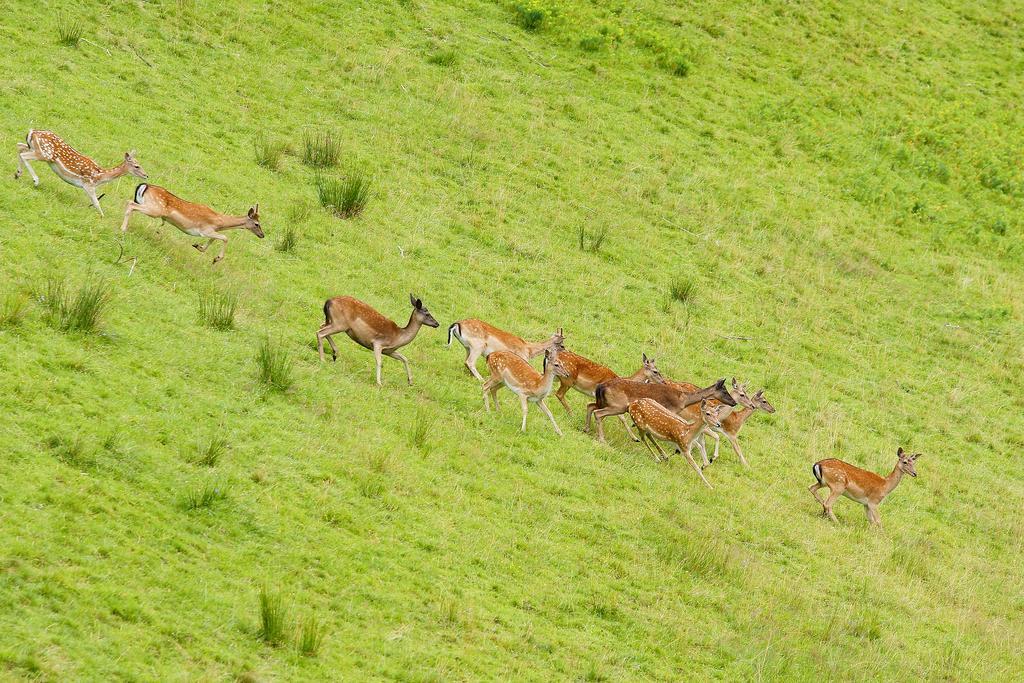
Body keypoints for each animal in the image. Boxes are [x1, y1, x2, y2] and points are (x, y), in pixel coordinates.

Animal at [14, 127, 148, 214]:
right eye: (137, 166)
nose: (146, 175)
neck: (100, 176)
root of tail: (32, 132)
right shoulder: (88, 184)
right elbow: (96, 203)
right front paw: (102, 217)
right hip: (45, 154)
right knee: (24, 154)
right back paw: (35, 180)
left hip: (34, 148)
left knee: (19, 146)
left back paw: (17, 174)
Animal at [118, 183, 264, 264]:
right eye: (257, 223)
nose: (262, 235)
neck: (219, 221)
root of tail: (145, 186)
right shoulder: (205, 230)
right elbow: (225, 237)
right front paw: (216, 259)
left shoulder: (210, 232)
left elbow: (213, 239)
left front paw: (198, 246)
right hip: (155, 209)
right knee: (130, 204)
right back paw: (123, 229)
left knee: (128, 201)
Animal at [585, 378, 737, 444]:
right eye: (724, 390)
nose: (734, 402)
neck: (683, 399)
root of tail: (600, 387)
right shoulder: (671, 410)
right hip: (618, 406)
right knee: (598, 413)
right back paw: (602, 439)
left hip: (603, 402)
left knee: (590, 406)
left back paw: (586, 429)